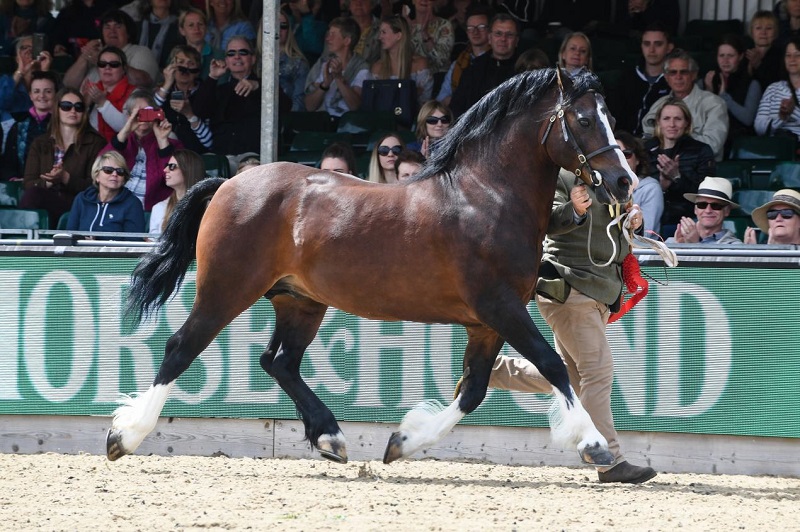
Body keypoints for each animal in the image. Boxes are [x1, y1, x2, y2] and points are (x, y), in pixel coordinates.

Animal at [109, 68, 636, 468]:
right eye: (584, 119)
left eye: (610, 118)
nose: (623, 182)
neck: (485, 197)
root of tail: (228, 184)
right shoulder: (500, 307)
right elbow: (550, 364)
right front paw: (594, 445)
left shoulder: (485, 323)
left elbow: (473, 390)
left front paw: (402, 442)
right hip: (227, 288)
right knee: (182, 347)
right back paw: (124, 436)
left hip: (299, 301)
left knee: (279, 362)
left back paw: (331, 437)